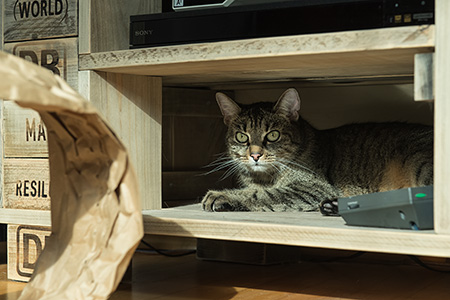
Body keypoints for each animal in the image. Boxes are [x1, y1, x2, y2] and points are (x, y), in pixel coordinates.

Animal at [202, 88, 434, 214]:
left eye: (273, 135)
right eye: (242, 137)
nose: (255, 155)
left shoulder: (312, 187)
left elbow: (263, 194)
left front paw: (222, 195)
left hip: (421, 162)